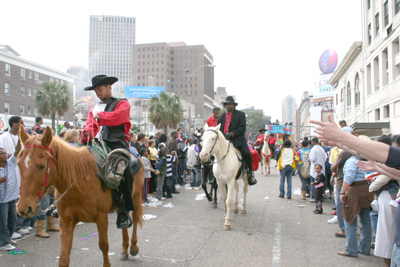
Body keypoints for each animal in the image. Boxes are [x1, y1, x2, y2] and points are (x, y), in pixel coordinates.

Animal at [16, 126, 144, 266]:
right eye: (19, 164)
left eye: (42, 166)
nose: (24, 208)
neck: (79, 183)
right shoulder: (65, 221)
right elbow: (63, 257)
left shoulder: (101, 217)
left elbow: (104, 245)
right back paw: (124, 249)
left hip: (135, 197)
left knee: (135, 218)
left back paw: (133, 247)